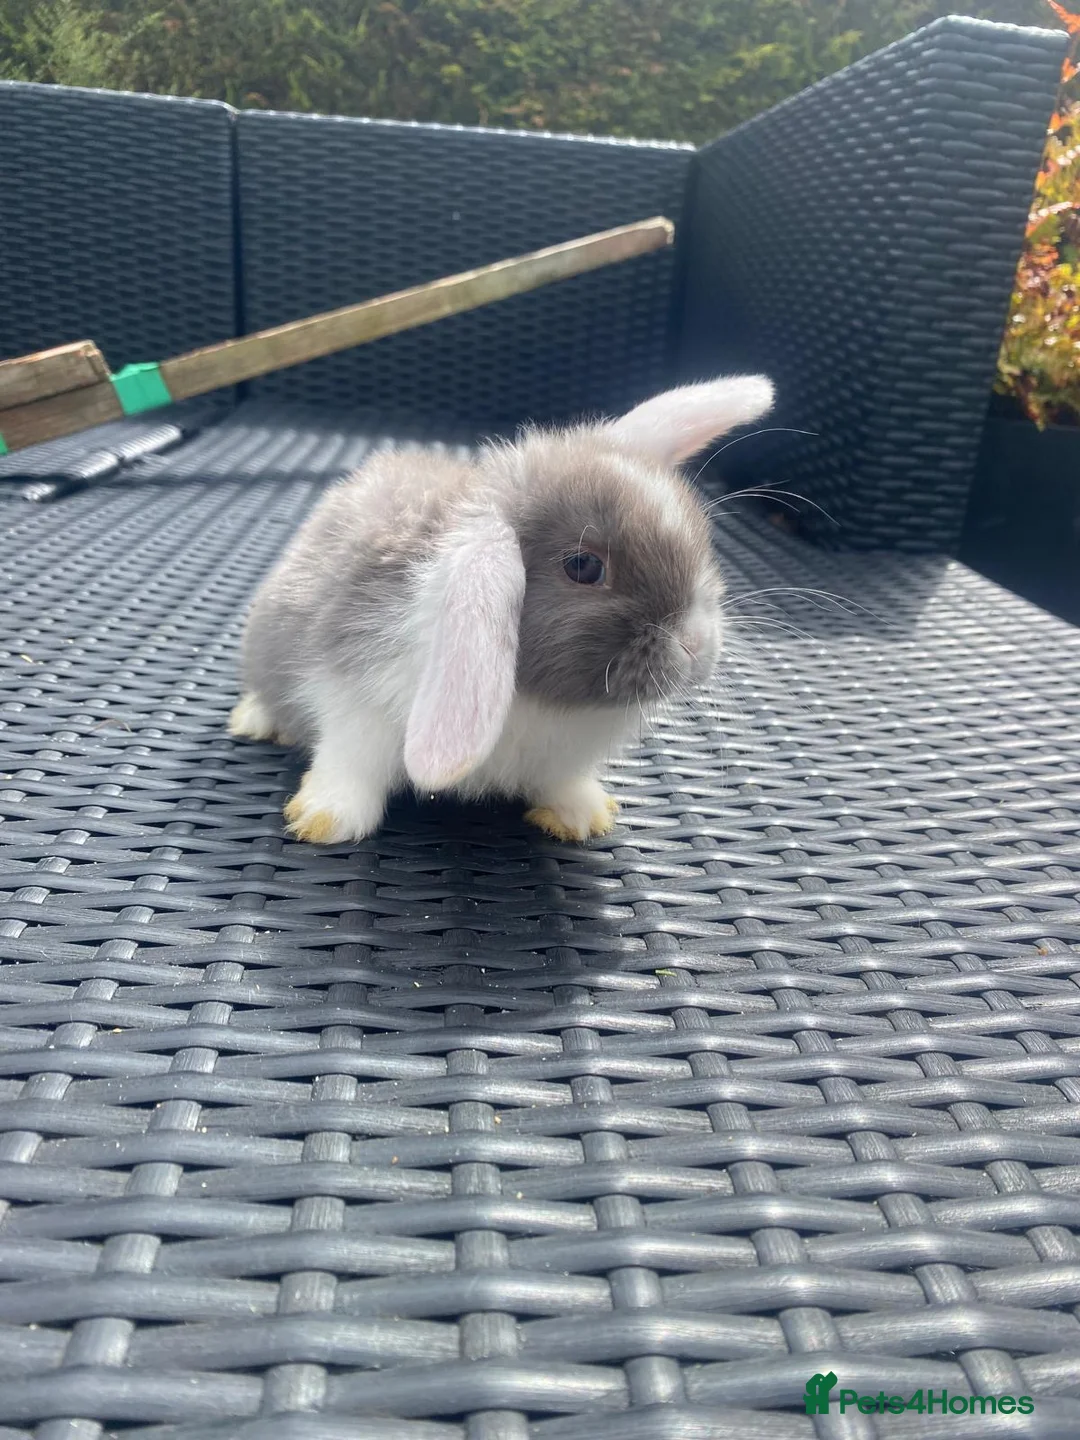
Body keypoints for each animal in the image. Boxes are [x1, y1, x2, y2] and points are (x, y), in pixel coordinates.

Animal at [229, 375, 774, 844]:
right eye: (583, 566)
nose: (697, 643)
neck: (533, 702)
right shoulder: (354, 706)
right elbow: (349, 763)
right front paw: (326, 820)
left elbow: (561, 783)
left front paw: (580, 816)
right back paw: (257, 720)